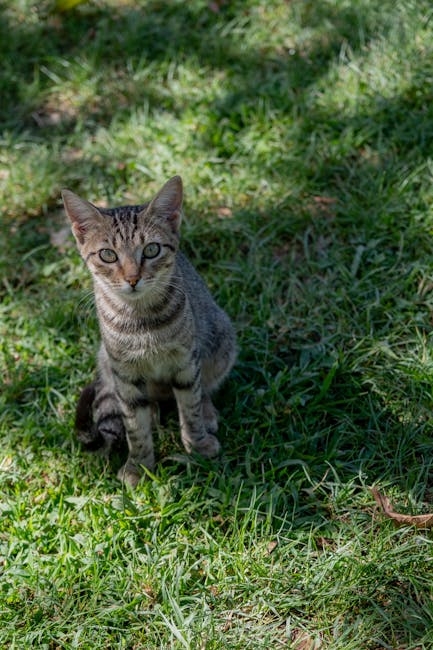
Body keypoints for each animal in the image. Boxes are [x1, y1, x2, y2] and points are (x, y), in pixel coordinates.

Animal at [62, 177, 235, 486]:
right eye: (108, 255)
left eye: (151, 250)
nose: (132, 279)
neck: (141, 322)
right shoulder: (125, 375)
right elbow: (135, 428)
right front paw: (138, 465)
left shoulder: (185, 361)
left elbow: (190, 406)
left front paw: (198, 443)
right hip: (107, 361)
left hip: (221, 339)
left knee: (205, 387)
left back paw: (206, 411)